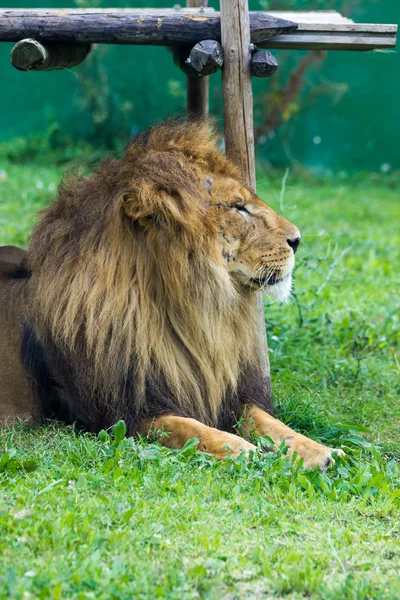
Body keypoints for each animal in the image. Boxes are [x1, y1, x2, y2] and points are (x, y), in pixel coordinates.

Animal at [0, 120, 344, 468]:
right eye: (238, 207)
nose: (297, 240)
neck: (186, 315)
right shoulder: (114, 415)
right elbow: (189, 427)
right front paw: (241, 449)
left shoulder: (218, 391)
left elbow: (268, 421)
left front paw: (321, 450)